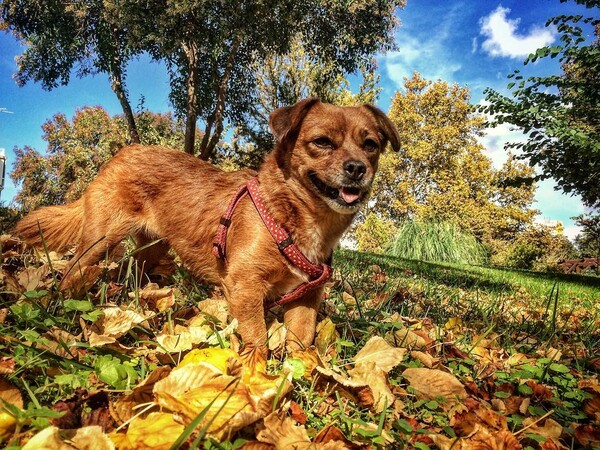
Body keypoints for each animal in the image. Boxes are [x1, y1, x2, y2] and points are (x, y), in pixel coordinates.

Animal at [15, 98, 398, 352]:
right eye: (322, 142)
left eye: (370, 145)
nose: (357, 168)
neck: (292, 216)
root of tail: (122, 153)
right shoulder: (245, 286)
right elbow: (257, 339)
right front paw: (257, 379)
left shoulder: (306, 297)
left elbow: (301, 342)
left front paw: (300, 376)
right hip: (101, 240)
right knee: (72, 270)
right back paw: (59, 307)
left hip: (150, 249)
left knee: (130, 269)